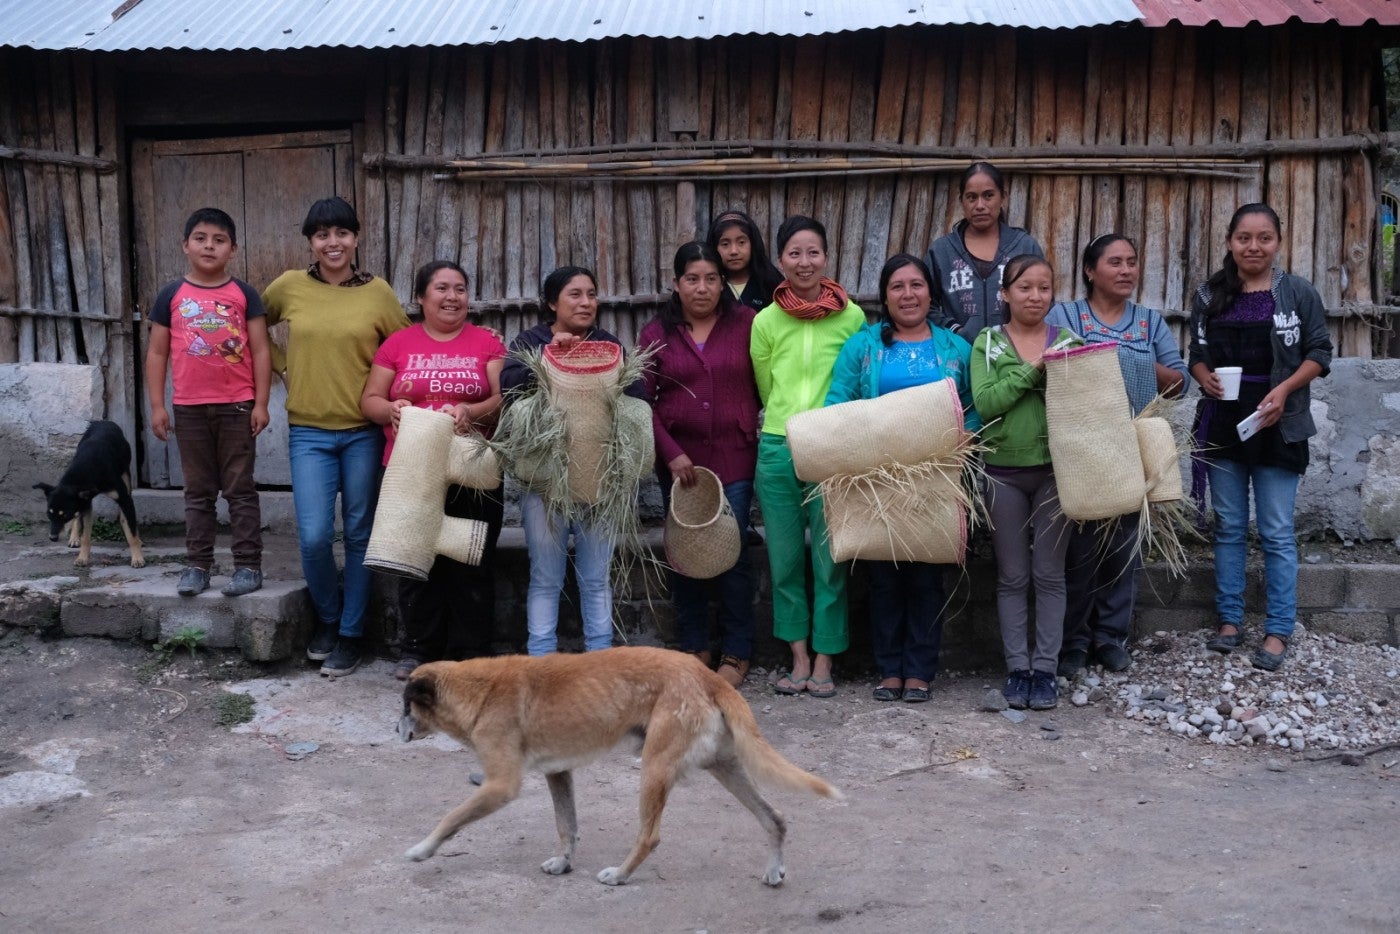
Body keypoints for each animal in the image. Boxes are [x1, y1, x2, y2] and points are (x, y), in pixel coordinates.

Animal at [34, 422, 145, 571]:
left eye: (65, 515)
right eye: (48, 513)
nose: (52, 538)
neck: (87, 467)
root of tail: (102, 422)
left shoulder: (124, 499)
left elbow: (131, 533)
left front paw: (137, 557)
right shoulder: (84, 504)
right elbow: (85, 535)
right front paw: (82, 558)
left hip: (126, 477)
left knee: (125, 516)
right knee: (78, 519)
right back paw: (74, 538)